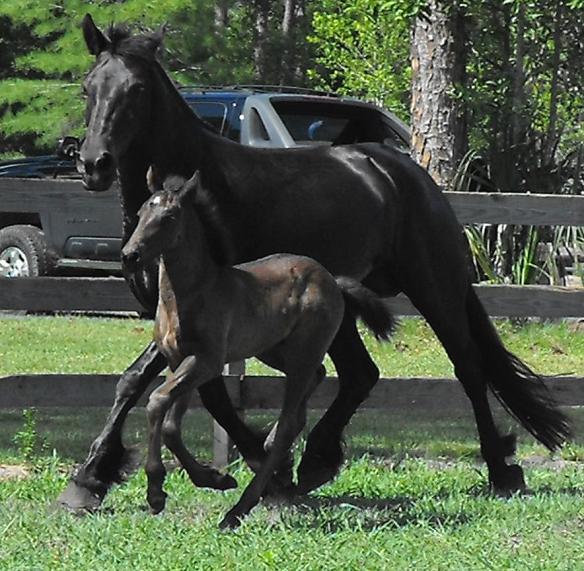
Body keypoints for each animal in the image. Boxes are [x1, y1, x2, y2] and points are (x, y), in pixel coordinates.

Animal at [57, 14, 568, 512]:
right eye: (88, 87)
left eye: (137, 89)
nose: (94, 163)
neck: (199, 195)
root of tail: (407, 172)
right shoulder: (169, 318)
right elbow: (134, 383)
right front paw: (88, 480)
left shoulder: (213, 319)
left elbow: (207, 395)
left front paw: (259, 470)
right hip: (341, 309)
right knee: (361, 374)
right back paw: (317, 460)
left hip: (433, 289)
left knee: (467, 367)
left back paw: (500, 470)